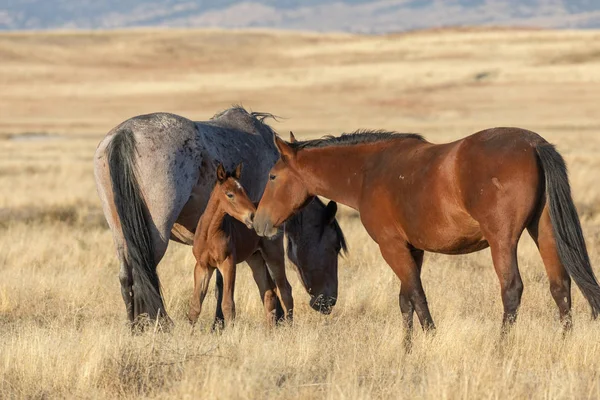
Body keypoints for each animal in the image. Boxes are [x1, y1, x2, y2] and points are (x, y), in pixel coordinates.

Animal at [188, 163, 290, 328]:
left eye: (244, 191)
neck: (209, 233)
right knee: (269, 292)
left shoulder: (228, 263)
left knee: (285, 289)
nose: (253, 217)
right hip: (255, 259)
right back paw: (270, 331)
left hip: (274, 256)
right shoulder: (203, 266)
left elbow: (227, 304)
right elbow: (195, 306)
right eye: (230, 194)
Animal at [253, 128, 600, 346]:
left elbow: (417, 296)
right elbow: (405, 299)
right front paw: (406, 348)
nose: (258, 222)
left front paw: (430, 339)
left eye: (273, 176)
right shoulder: (413, 249)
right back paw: (563, 342)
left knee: (512, 289)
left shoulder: (392, 247)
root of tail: (533, 144)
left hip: (503, 242)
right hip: (544, 233)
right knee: (560, 286)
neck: (368, 172)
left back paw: (502, 346)